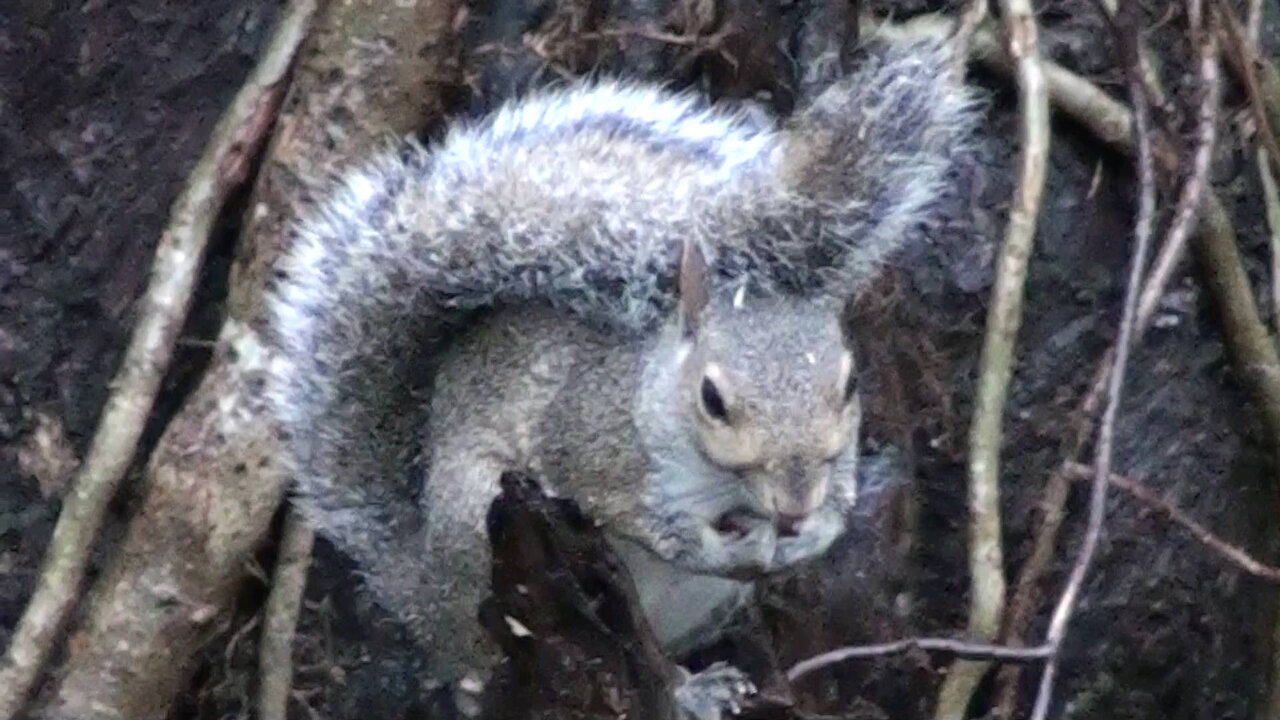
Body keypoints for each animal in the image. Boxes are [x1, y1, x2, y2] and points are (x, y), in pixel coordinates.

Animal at [264, 32, 972, 707]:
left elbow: (839, 502)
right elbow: (630, 512)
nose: (795, 504)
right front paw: (714, 544)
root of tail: (429, 606)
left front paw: (811, 533)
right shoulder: (591, 442)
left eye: (849, 384)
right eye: (713, 399)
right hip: (479, 531)